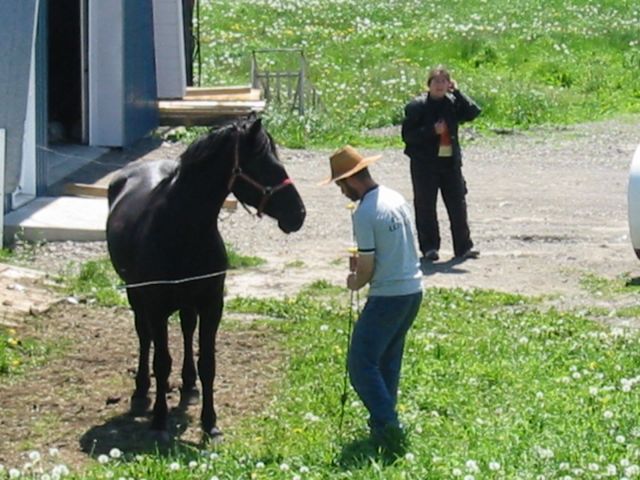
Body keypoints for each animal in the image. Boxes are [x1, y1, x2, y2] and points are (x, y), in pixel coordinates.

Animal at [106, 116, 306, 438]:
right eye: (264, 165)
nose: (298, 214)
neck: (183, 230)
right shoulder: (157, 307)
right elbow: (162, 362)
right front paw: (159, 421)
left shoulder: (212, 304)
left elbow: (208, 363)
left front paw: (210, 422)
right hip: (135, 294)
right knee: (144, 336)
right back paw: (141, 390)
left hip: (187, 303)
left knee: (187, 331)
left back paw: (188, 384)